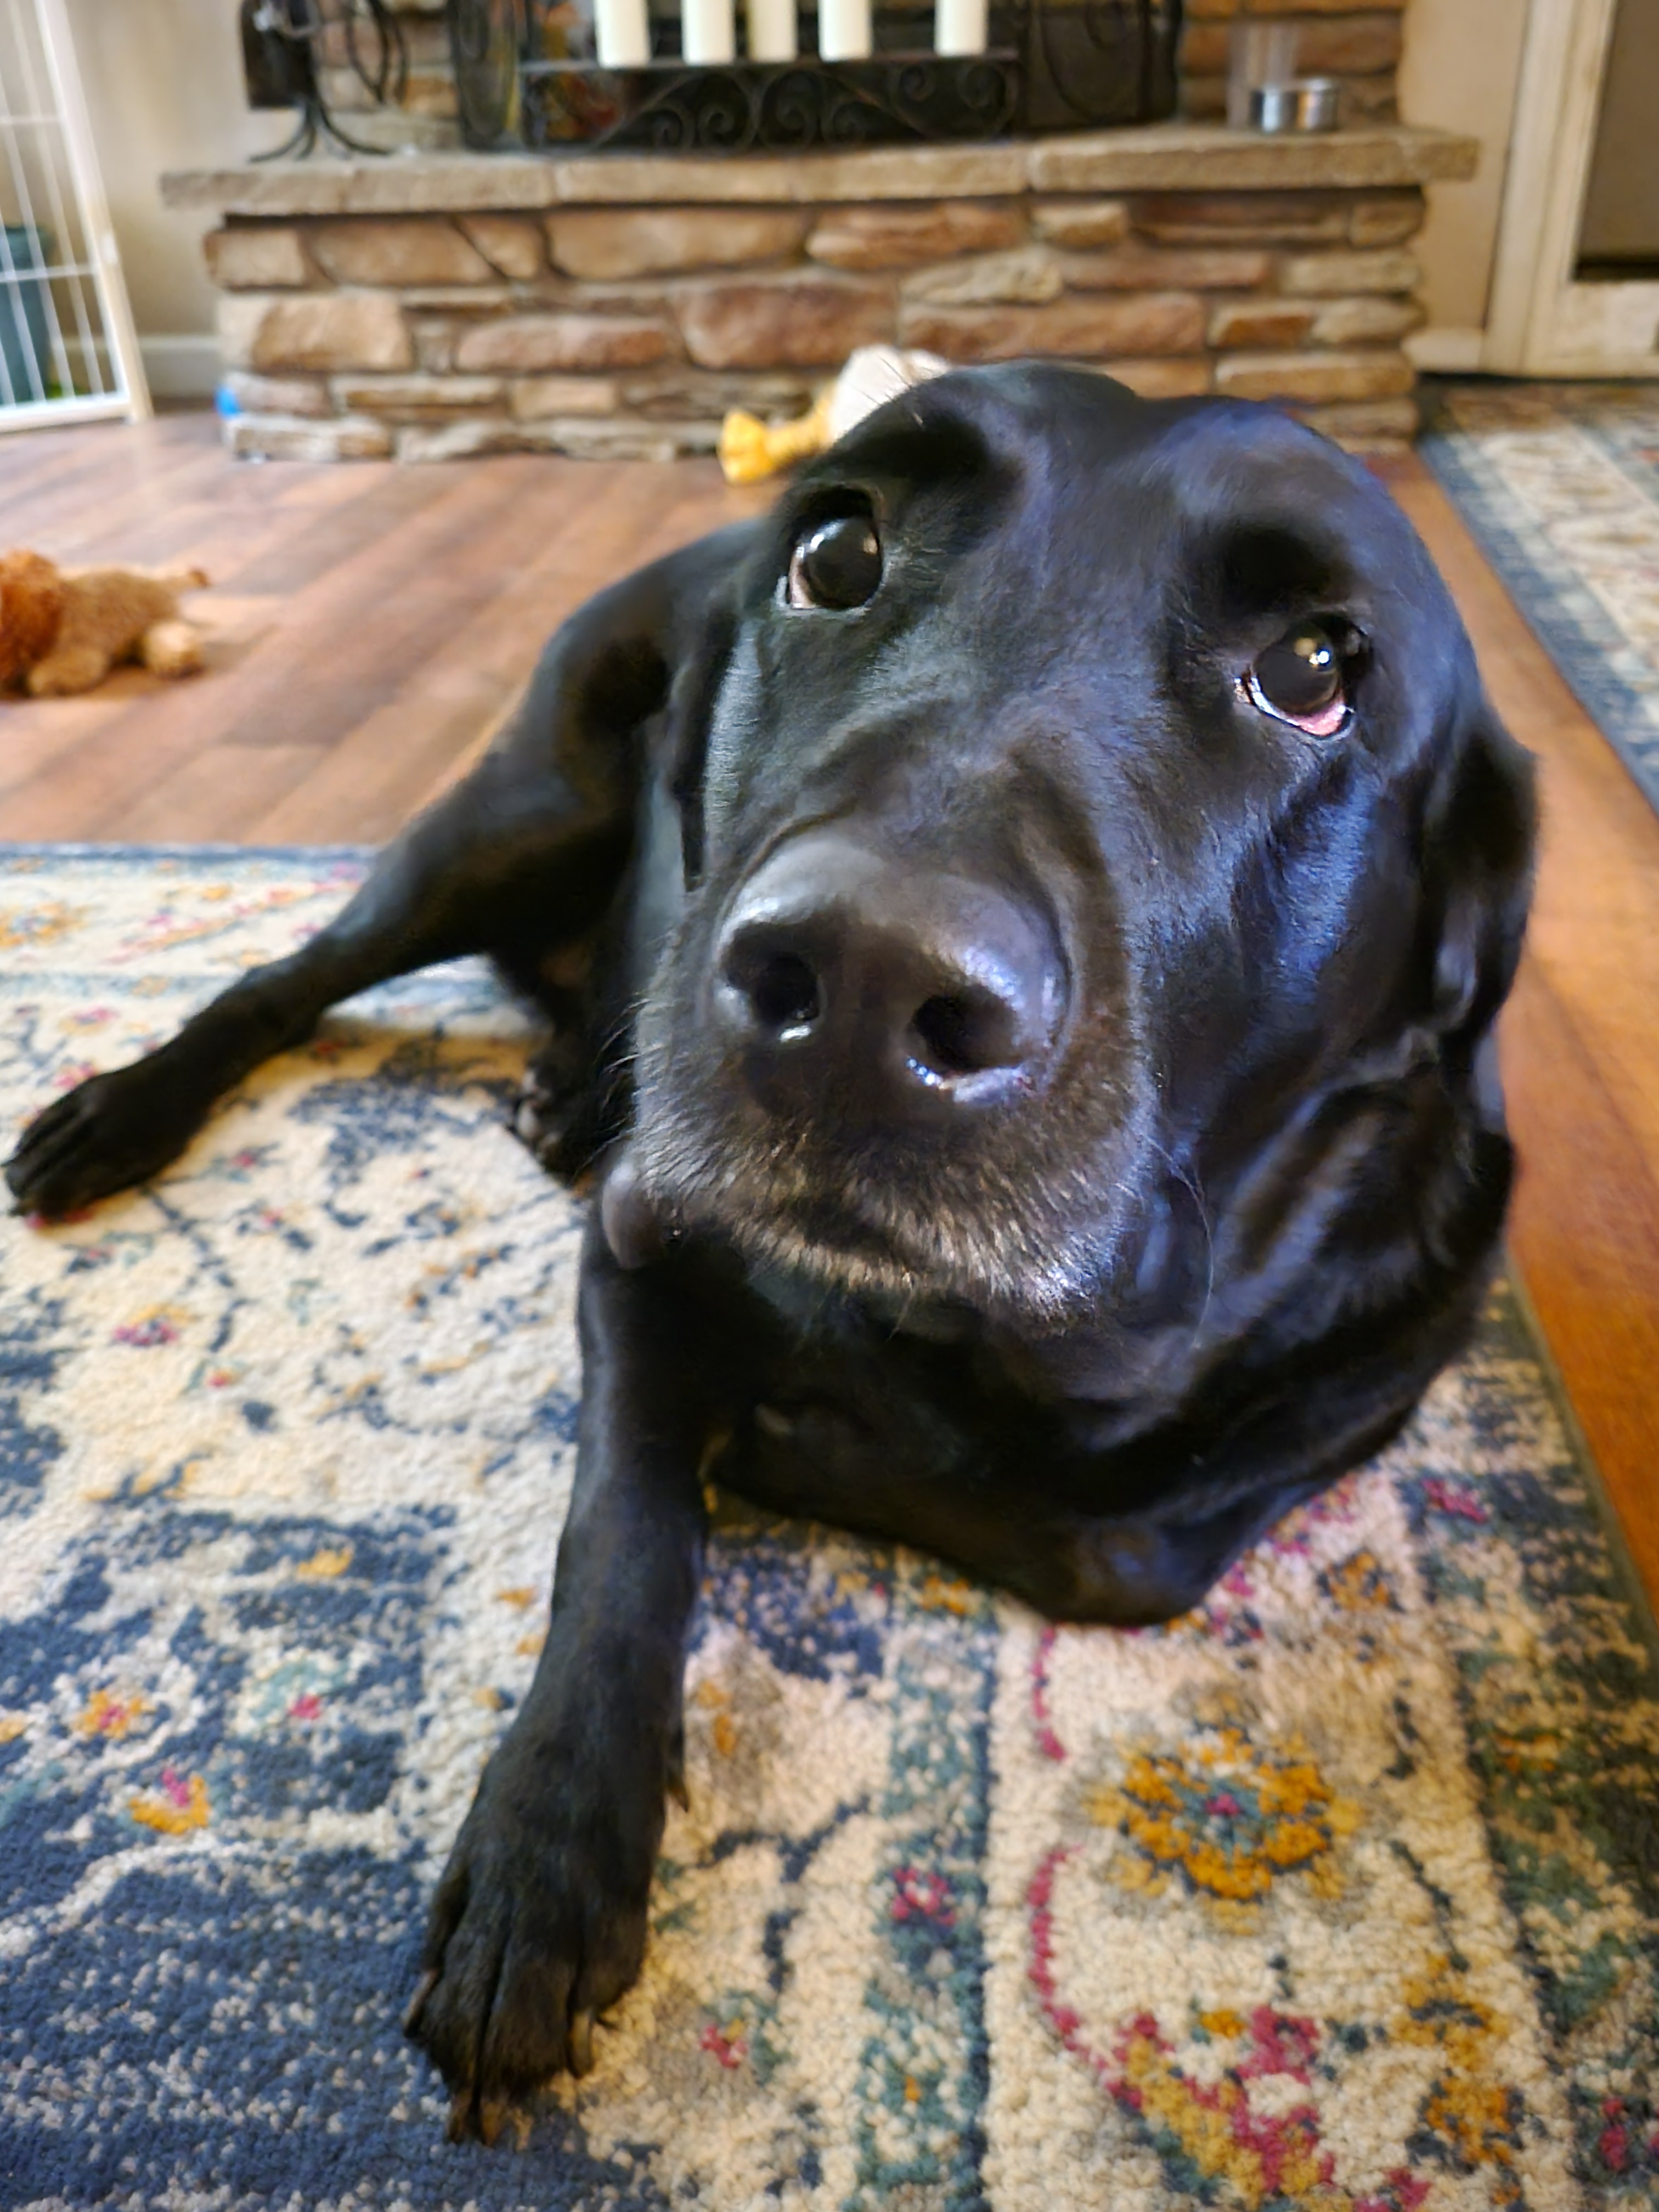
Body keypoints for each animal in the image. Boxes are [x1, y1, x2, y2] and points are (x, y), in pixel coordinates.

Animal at [4, 366, 1535, 2142]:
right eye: (838, 553)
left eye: (1313, 672)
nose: (860, 985)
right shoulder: (641, 1253)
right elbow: (626, 1523)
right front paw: (546, 1854)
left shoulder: (1329, 1405)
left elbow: (1114, 1552)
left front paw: (819, 1436)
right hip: (514, 819)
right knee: (294, 973)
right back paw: (120, 1112)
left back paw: (560, 1086)